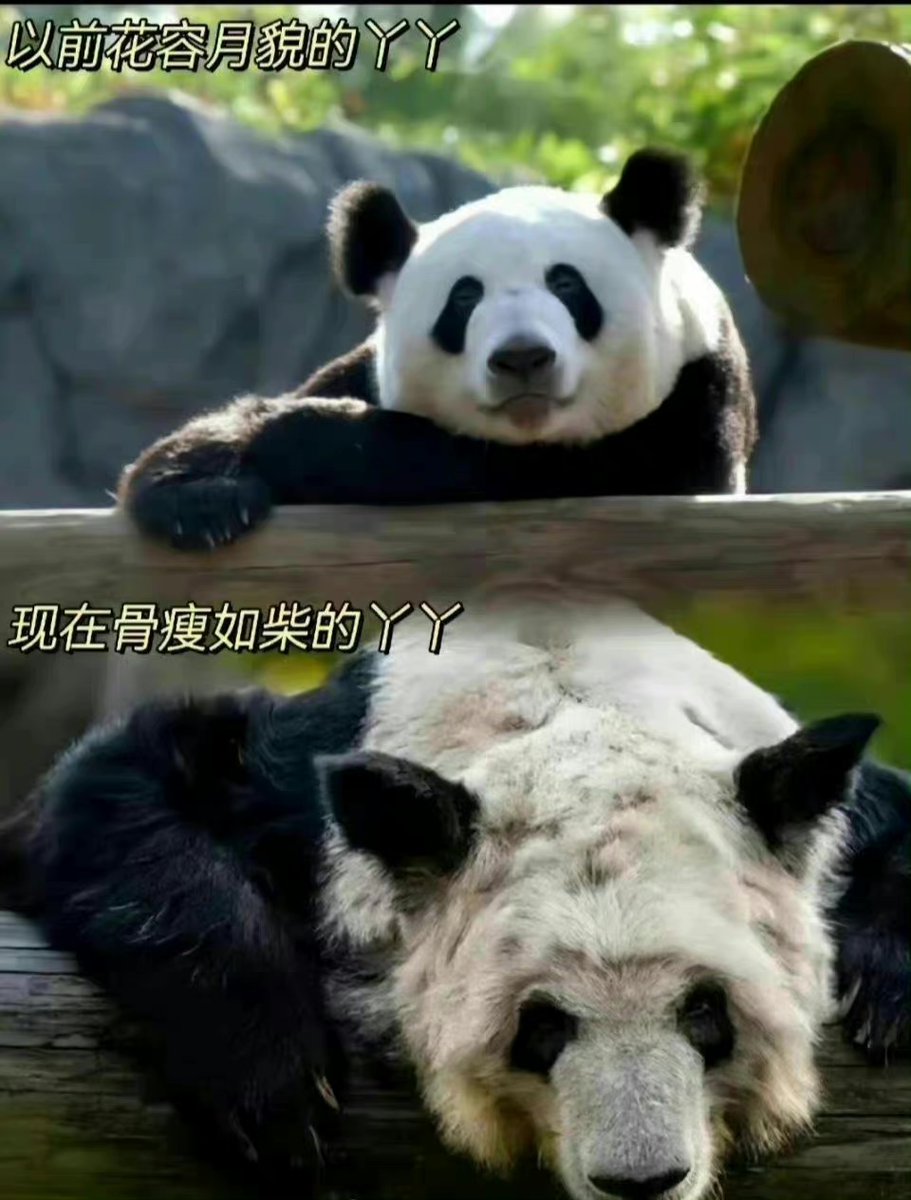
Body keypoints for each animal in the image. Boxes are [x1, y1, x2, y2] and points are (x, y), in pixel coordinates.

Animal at [5, 601, 908, 1200]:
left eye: (704, 1011)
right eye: (541, 1025)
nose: (641, 1182)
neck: (567, 697)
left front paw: (885, 993)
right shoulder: (303, 790)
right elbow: (120, 788)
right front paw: (272, 1085)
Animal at [119, 149, 756, 551]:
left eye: (567, 284)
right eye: (464, 297)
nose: (523, 357)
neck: (532, 430)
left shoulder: (688, 411)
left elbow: (500, 468)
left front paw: (305, 433)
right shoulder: (363, 370)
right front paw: (204, 500)